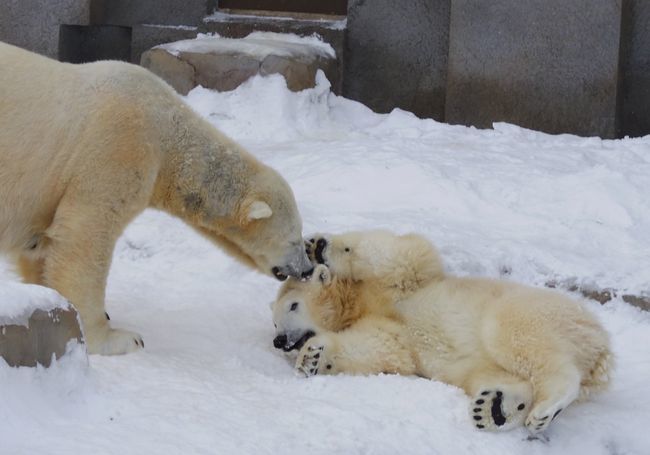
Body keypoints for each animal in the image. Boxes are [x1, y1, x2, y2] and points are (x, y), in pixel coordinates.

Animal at [0, 41, 314, 356]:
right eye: (294, 239)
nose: (308, 268)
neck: (167, 133)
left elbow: (40, 251)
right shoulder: (118, 147)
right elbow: (83, 240)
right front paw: (114, 338)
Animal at [270, 232, 612, 434]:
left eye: (293, 306)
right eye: (273, 321)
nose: (279, 340)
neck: (357, 302)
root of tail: (602, 350)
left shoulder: (404, 282)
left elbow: (402, 252)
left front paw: (319, 247)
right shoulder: (386, 328)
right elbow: (380, 348)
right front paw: (312, 358)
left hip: (533, 311)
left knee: (521, 340)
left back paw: (545, 406)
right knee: (495, 375)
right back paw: (494, 408)